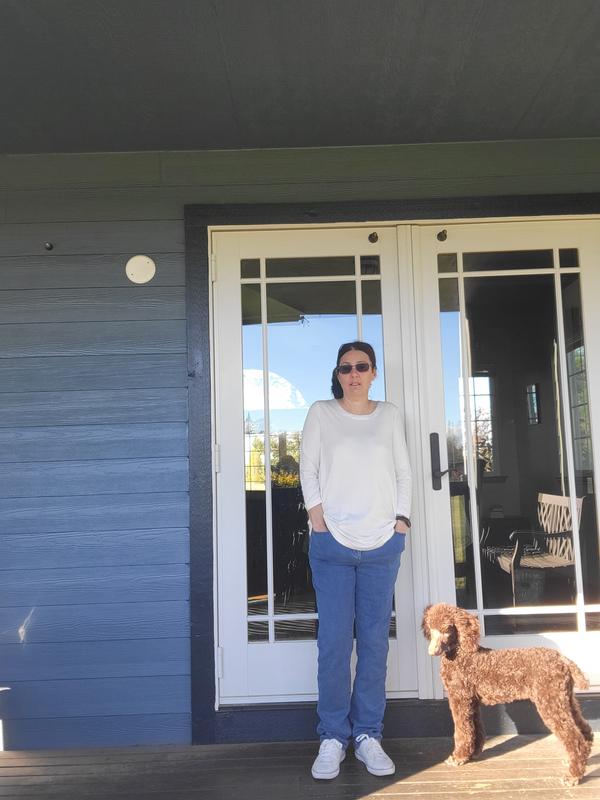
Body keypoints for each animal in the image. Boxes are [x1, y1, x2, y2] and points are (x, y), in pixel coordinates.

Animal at [422, 603, 593, 785]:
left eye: (447, 629)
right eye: (430, 627)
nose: (432, 651)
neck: (461, 654)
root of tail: (563, 659)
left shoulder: (459, 698)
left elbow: (462, 732)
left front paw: (458, 757)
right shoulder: (472, 702)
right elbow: (475, 729)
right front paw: (473, 754)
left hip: (550, 702)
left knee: (574, 738)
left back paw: (573, 775)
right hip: (566, 700)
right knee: (584, 730)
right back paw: (577, 762)